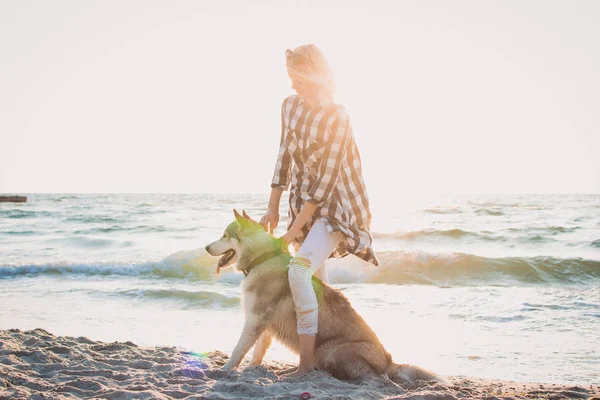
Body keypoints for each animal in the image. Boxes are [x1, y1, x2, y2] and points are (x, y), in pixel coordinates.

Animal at [204, 208, 438, 382]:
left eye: (224, 235)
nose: (206, 247)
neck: (263, 258)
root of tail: (390, 362)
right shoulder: (265, 325)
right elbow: (256, 352)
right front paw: (251, 370)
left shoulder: (254, 321)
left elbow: (238, 350)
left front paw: (224, 369)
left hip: (329, 350)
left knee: (361, 374)